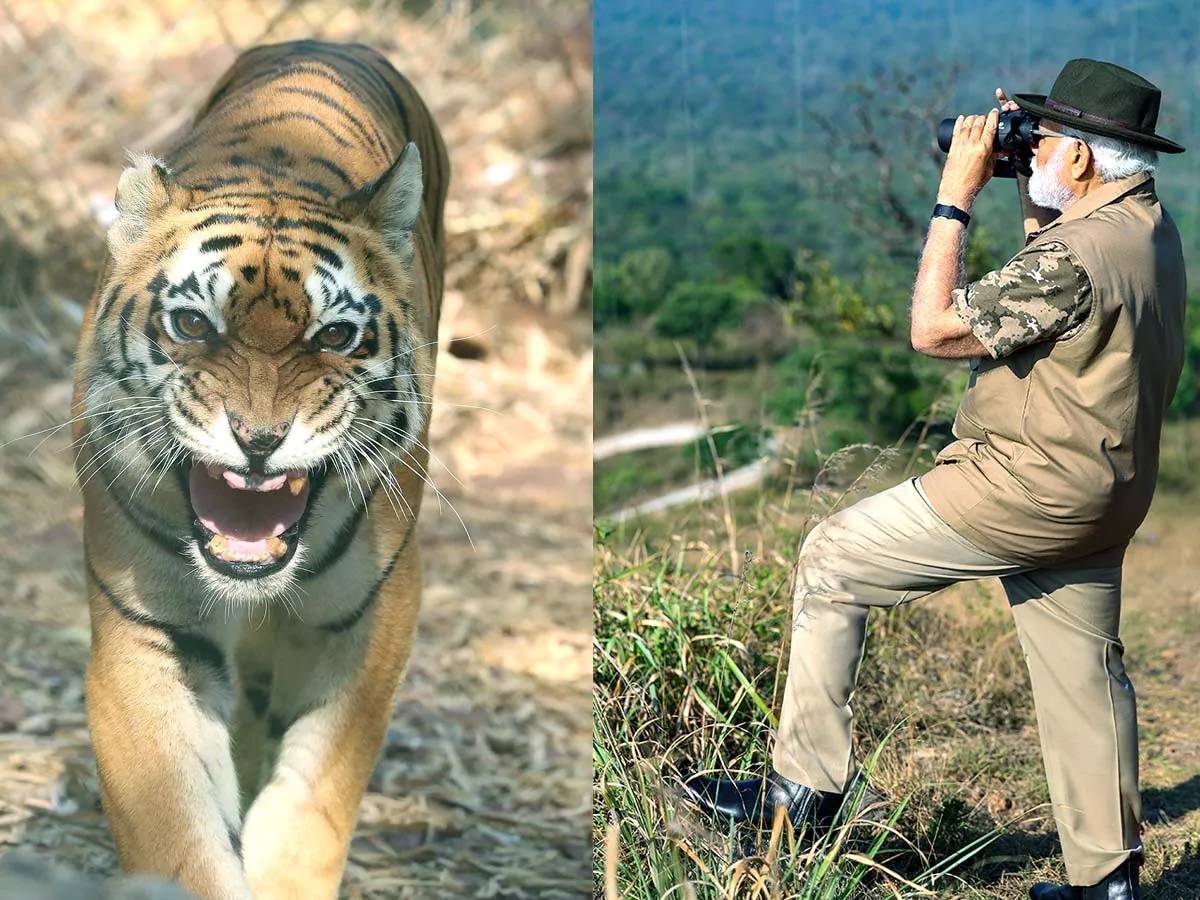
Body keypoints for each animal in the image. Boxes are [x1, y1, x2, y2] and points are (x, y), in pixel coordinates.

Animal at [68, 38, 451, 897]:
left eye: (334, 336)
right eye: (191, 325)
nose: (259, 438)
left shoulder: (371, 616)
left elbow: (312, 803)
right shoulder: (149, 630)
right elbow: (175, 830)